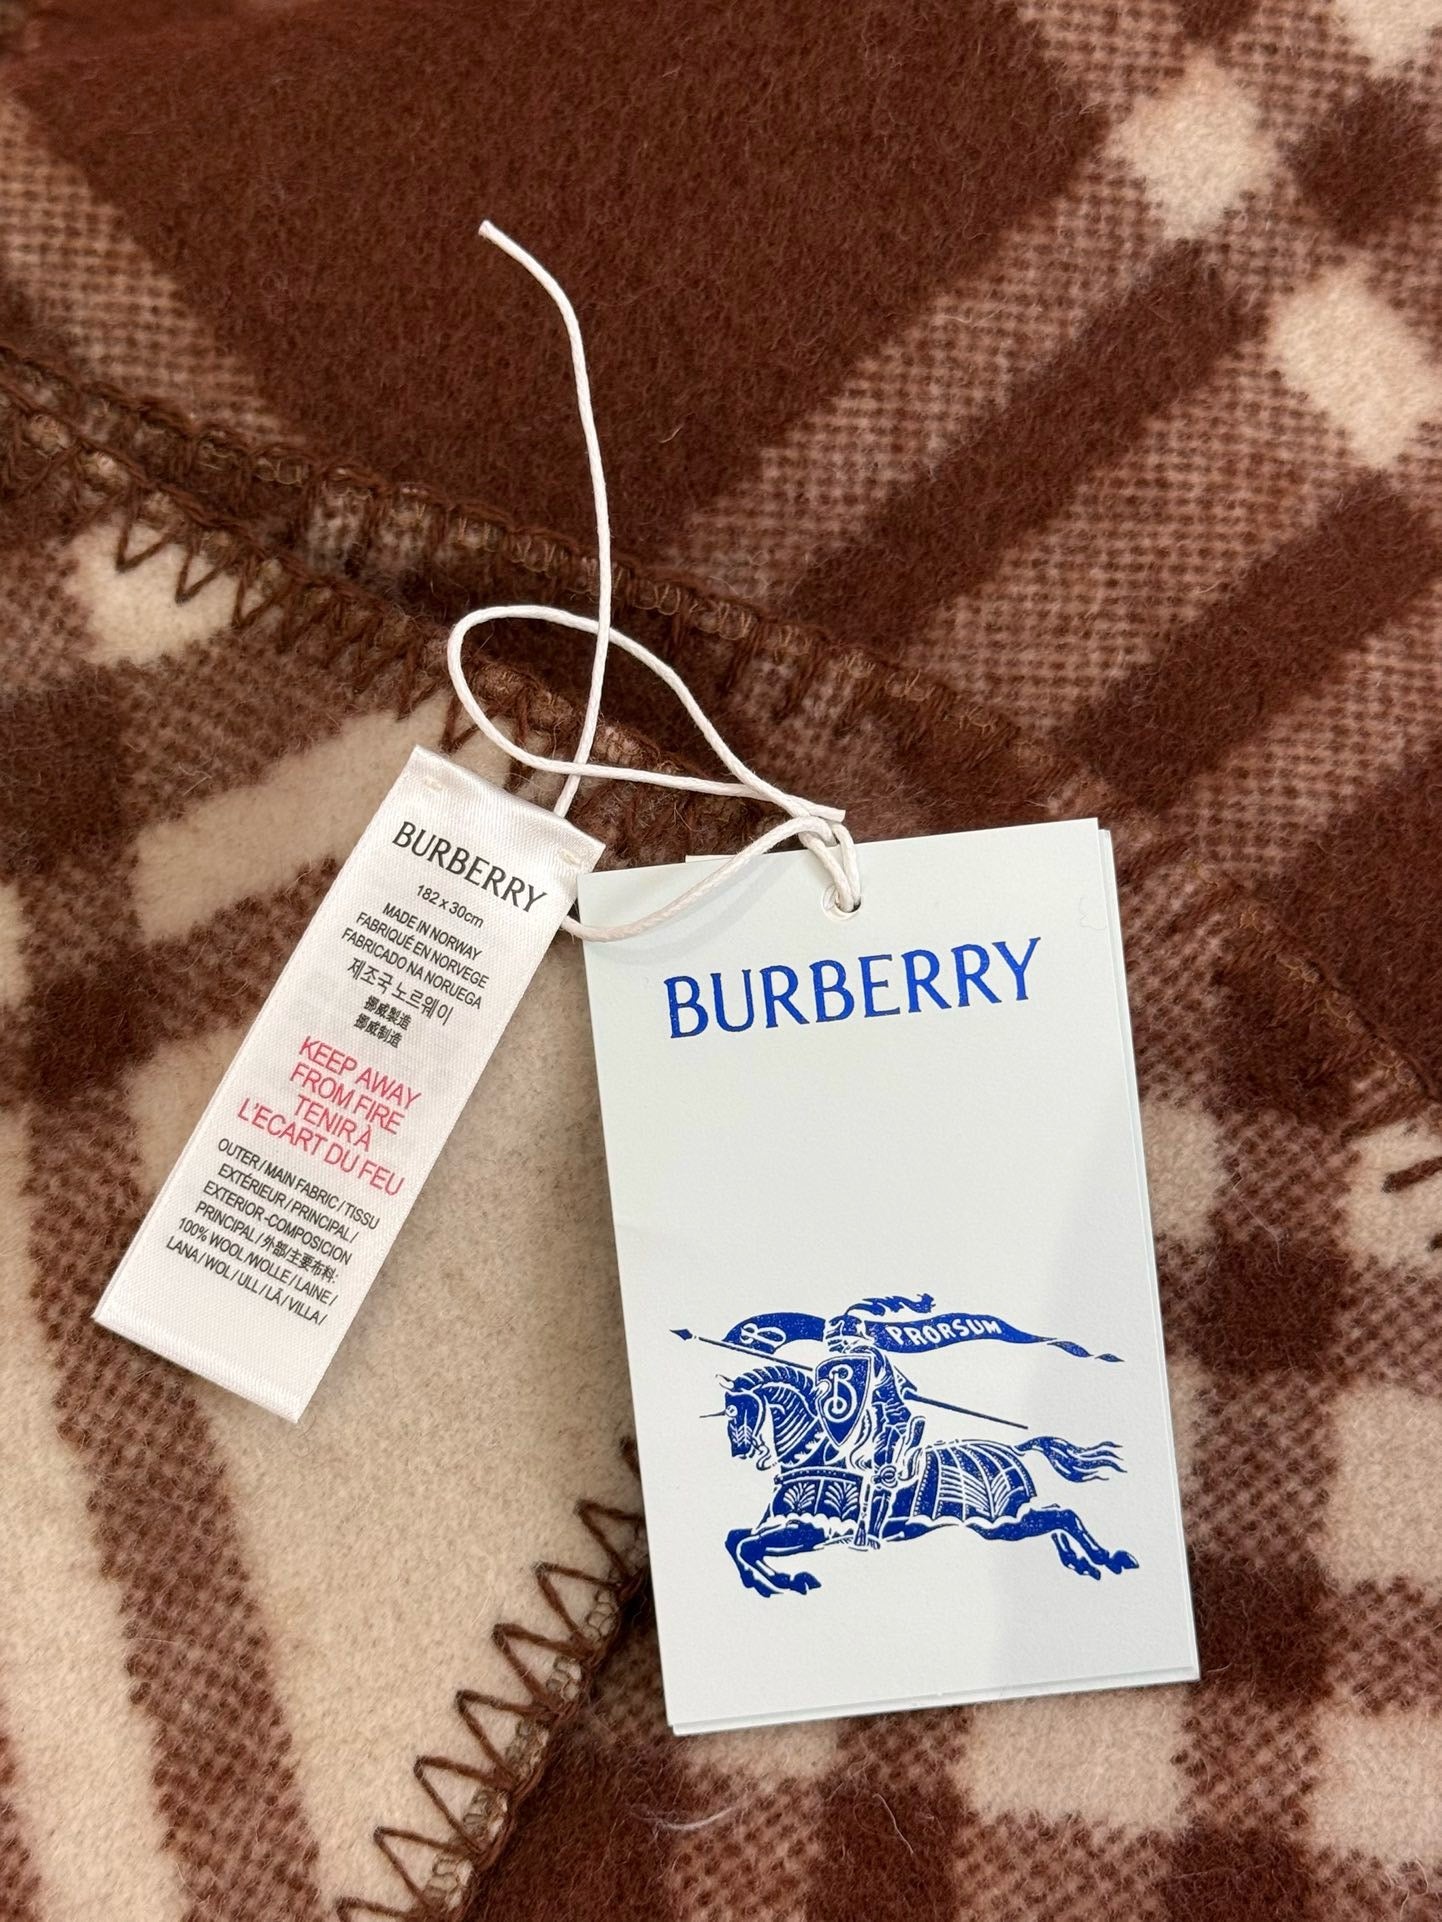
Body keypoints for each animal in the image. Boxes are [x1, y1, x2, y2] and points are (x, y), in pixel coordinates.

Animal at [719, 1362, 1138, 1598]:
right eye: (728, 1412)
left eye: (738, 1411)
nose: (738, 1449)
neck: (818, 1453)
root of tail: (1016, 1448)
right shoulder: (787, 1527)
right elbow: (736, 1540)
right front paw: (766, 1583)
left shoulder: (812, 1530)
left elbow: (748, 1547)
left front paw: (785, 1581)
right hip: (1007, 1522)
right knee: (1056, 1515)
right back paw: (1083, 1562)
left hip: (999, 1524)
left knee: (1063, 1516)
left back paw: (1108, 1558)